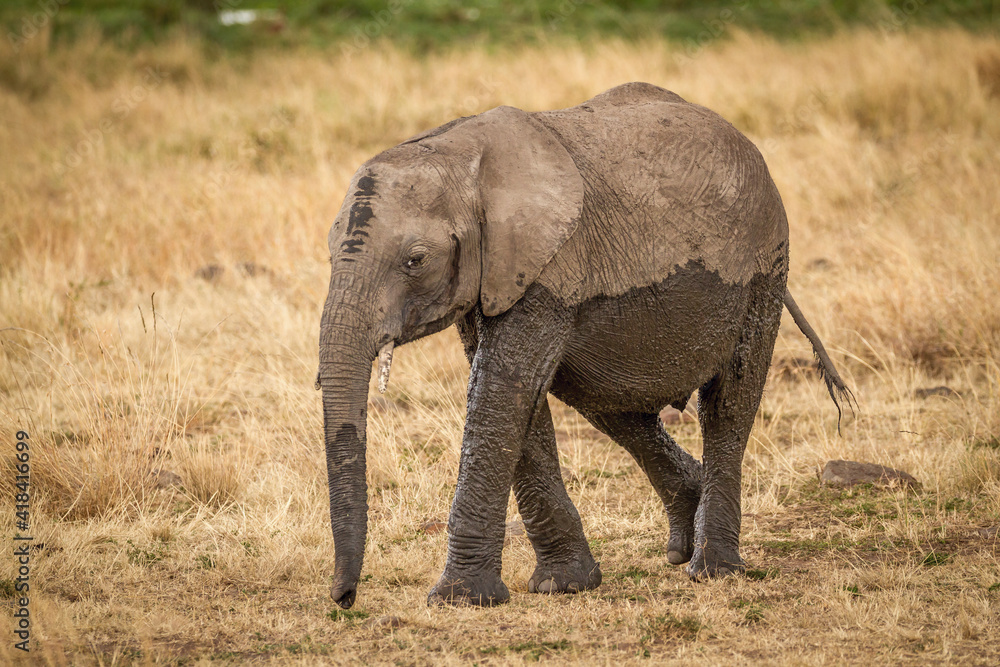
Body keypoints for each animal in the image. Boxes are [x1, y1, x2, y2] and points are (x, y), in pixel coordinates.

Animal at [314, 82, 852, 612]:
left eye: (415, 260)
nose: (345, 597)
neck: (456, 150)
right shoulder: (496, 275)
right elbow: (516, 398)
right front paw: (565, 585)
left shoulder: (549, 265)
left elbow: (500, 393)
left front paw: (459, 599)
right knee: (612, 405)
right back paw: (684, 536)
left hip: (766, 265)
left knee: (727, 404)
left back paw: (712, 568)